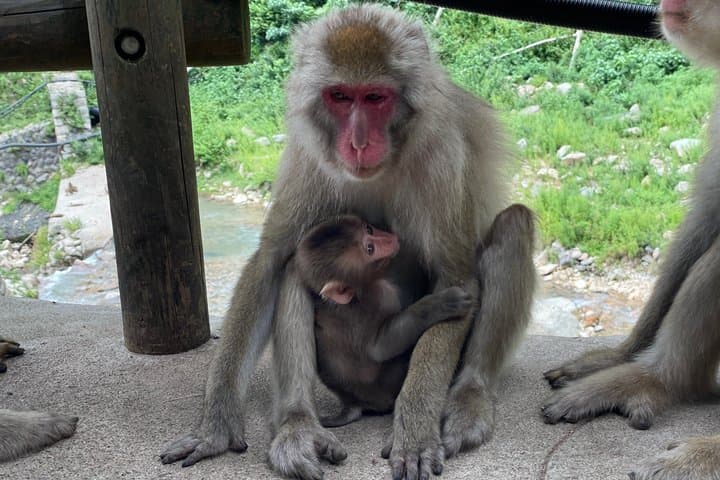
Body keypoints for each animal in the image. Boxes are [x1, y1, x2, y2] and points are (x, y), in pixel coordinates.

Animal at [295, 215, 473, 428]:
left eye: (369, 229)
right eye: (370, 249)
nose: (390, 239)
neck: (356, 294)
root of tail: (353, 403)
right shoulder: (380, 296)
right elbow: (380, 347)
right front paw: (442, 303)